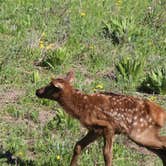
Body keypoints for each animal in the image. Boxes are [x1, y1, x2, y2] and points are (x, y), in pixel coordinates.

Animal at [36, 71, 166, 166]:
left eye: (50, 86)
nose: (37, 91)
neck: (81, 107)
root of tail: (161, 112)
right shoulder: (95, 130)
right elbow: (78, 146)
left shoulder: (108, 126)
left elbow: (107, 154)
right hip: (144, 135)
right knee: (161, 150)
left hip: (139, 133)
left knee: (163, 144)